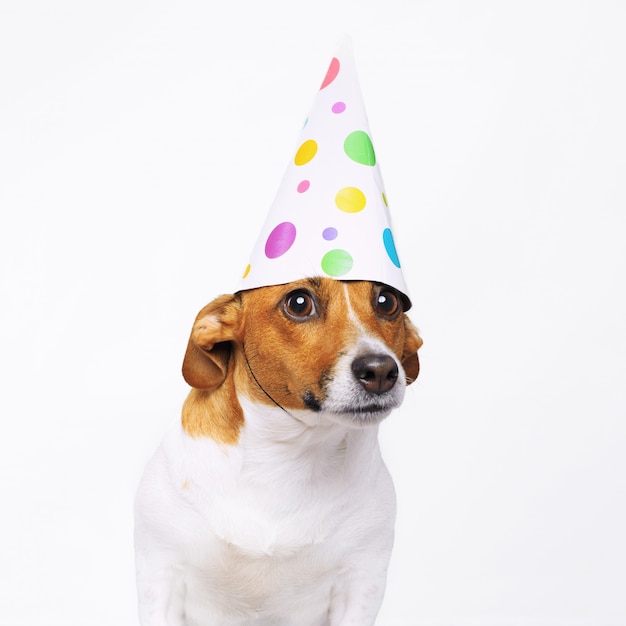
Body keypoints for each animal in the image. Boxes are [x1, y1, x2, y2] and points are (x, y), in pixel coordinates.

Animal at [134, 278, 422, 624]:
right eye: (299, 303)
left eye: (387, 301)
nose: (381, 372)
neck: (285, 456)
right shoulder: (161, 575)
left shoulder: (361, 581)